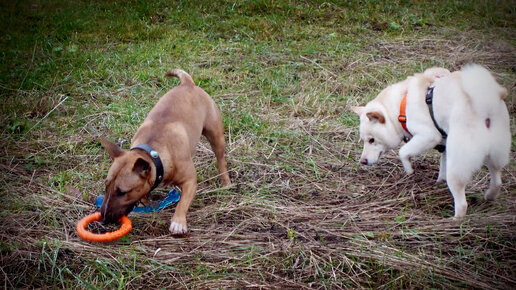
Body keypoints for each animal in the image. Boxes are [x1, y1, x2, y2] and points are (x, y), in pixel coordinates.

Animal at [100, 69, 231, 236]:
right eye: (106, 186)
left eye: (123, 192)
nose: (103, 218)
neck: (153, 152)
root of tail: (187, 83)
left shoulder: (190, 182)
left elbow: (183, 202)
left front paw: (178, 222)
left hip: (215, 135)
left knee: (220, 159)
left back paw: (226, 182)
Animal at [352, 64, 510, 220]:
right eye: (364, 140)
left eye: (371, 140)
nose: (363, 161)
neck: (401, 106)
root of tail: (486, 108)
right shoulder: (444, 143)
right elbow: (442, 165)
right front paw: (439, 182)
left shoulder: (428, 136)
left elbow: (402, 152)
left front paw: (409, 170)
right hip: (493, 155)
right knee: (497, 181)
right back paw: (489, 196)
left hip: (457, 164)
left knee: (462, 204)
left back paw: (453, 221)